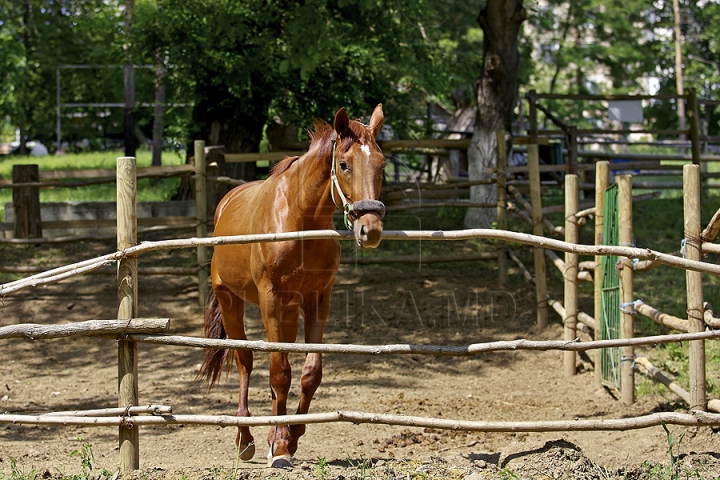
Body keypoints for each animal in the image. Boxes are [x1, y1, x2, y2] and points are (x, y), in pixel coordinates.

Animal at [197, 104, 386, 464]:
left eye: (381, 165)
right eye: (344, 164)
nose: (371, 229)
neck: (300, 220)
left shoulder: (318, 300)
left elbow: (310, 372)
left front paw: (291, 436)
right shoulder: (270, 299)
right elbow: (279, 372)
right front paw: (281, 446)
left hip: (287, 311)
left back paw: (275, 433)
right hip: (232, 303)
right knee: (246, 363)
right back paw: (246, 438)